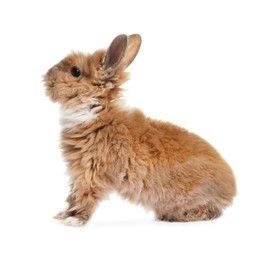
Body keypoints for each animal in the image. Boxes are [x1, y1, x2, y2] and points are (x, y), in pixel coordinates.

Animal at [43, 34, 236, 225]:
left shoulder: (91, 171)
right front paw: (62, 215)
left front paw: (73, 220)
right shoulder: (78, 172)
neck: (96, 112)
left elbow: (85, 196)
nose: (47, 77)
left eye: (75, 71)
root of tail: (231, 190)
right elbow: (73, 196)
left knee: (211, 211)